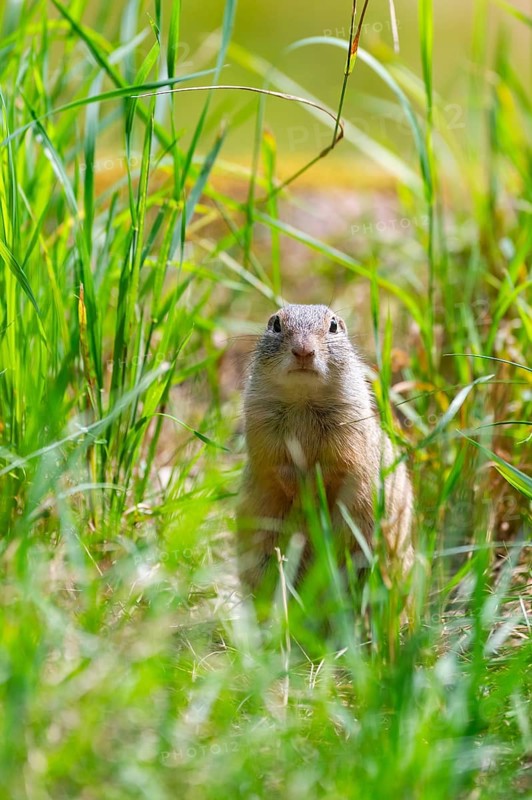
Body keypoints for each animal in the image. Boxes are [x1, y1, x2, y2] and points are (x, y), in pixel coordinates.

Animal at [236, 304, 413, 600]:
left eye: (333, 326)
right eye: (276, 324)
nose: (303, 351)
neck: (303, 400)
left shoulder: (347, 431)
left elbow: (338, 467)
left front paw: (312, 496)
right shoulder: (263, 430)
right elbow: (274, 466)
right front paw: (301, 497)